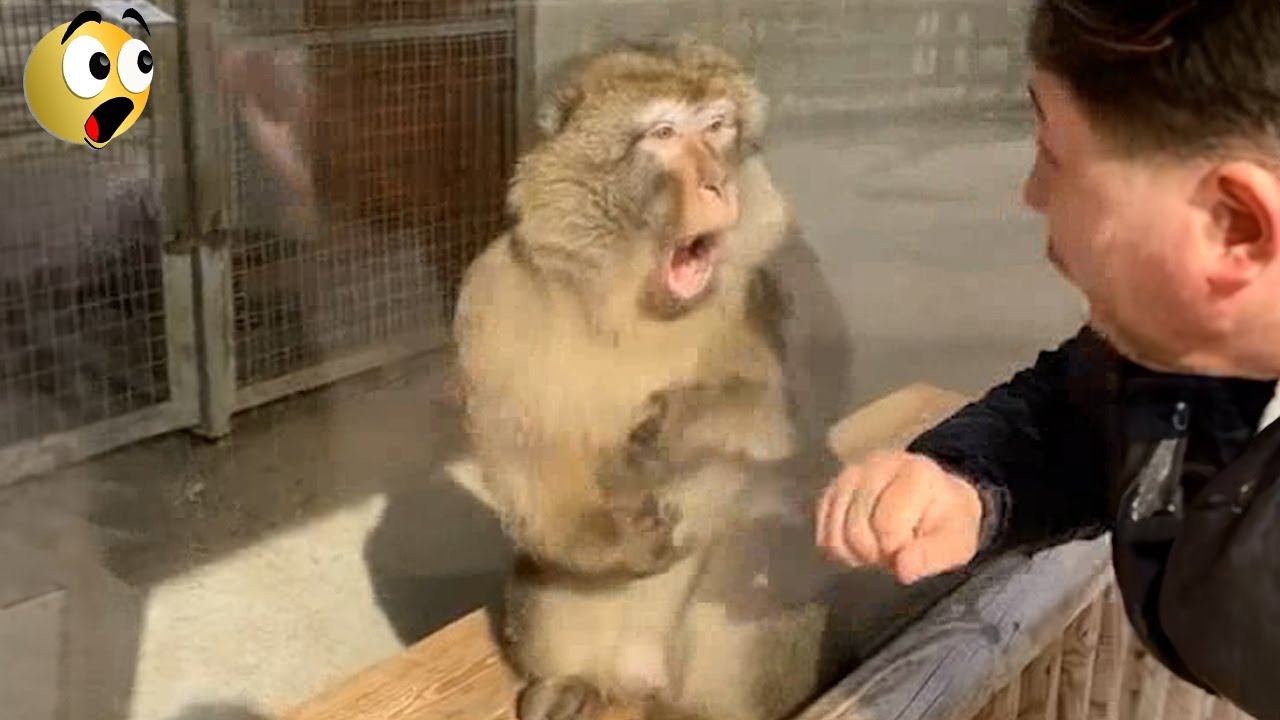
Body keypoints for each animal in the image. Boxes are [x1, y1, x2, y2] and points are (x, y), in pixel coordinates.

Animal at [449, 37, 962, 720]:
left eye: (717, 126)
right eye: (664, 133)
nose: (717, 182)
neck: (634, 304)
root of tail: (642, 674)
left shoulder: (780, 255)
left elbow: (810, 409)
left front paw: (690, 419)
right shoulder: (496, 289)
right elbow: (518, 453)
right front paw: (617, 539)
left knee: (764, 545)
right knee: (546, 573)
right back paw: (572, 683)